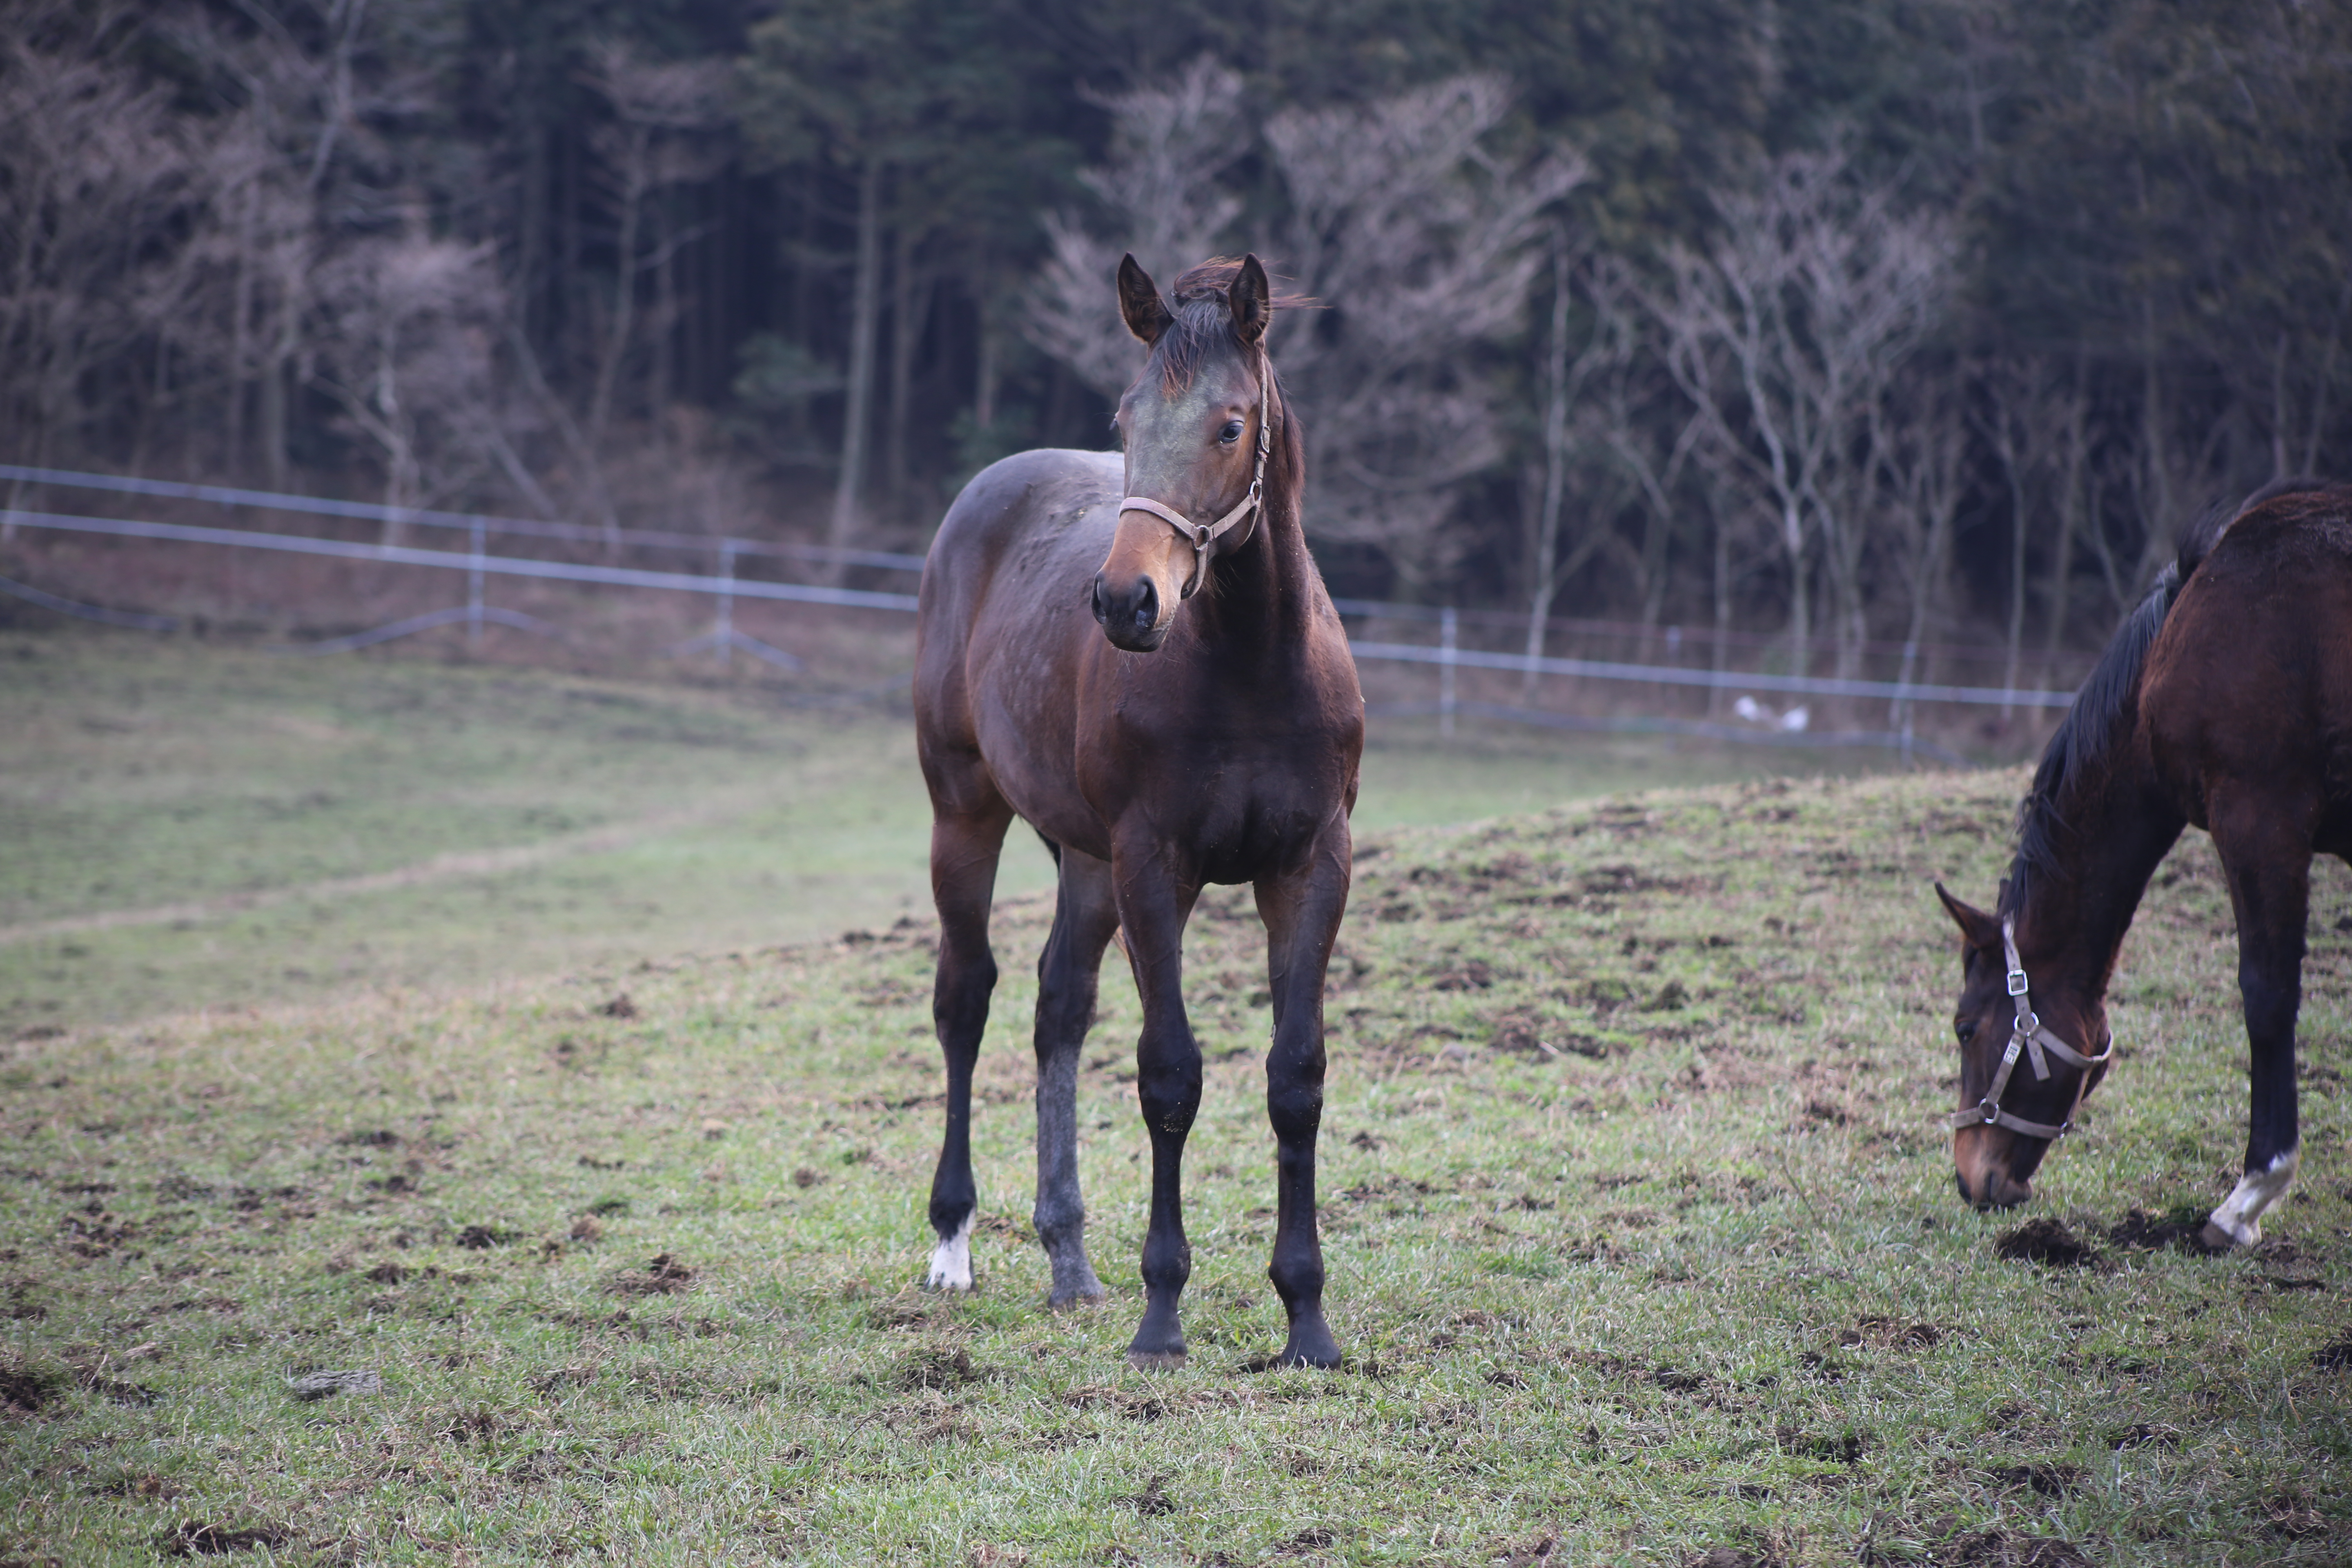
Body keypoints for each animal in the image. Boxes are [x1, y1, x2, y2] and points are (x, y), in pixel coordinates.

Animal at [912, 252, 1373, 1363]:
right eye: (1125, 420)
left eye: (1230, 424)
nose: (1125, 602)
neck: (1251, 668)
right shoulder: (1154, 865)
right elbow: (1169, 1076)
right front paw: (1161, 1314)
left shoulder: (1310, 867)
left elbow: (1295, 1080)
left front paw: (1306, 1319)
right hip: (964, 811)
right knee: (966, 997)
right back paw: (953, 1244)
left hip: (1083, 862)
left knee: (1057, 1008)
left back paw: (1068, 1257)